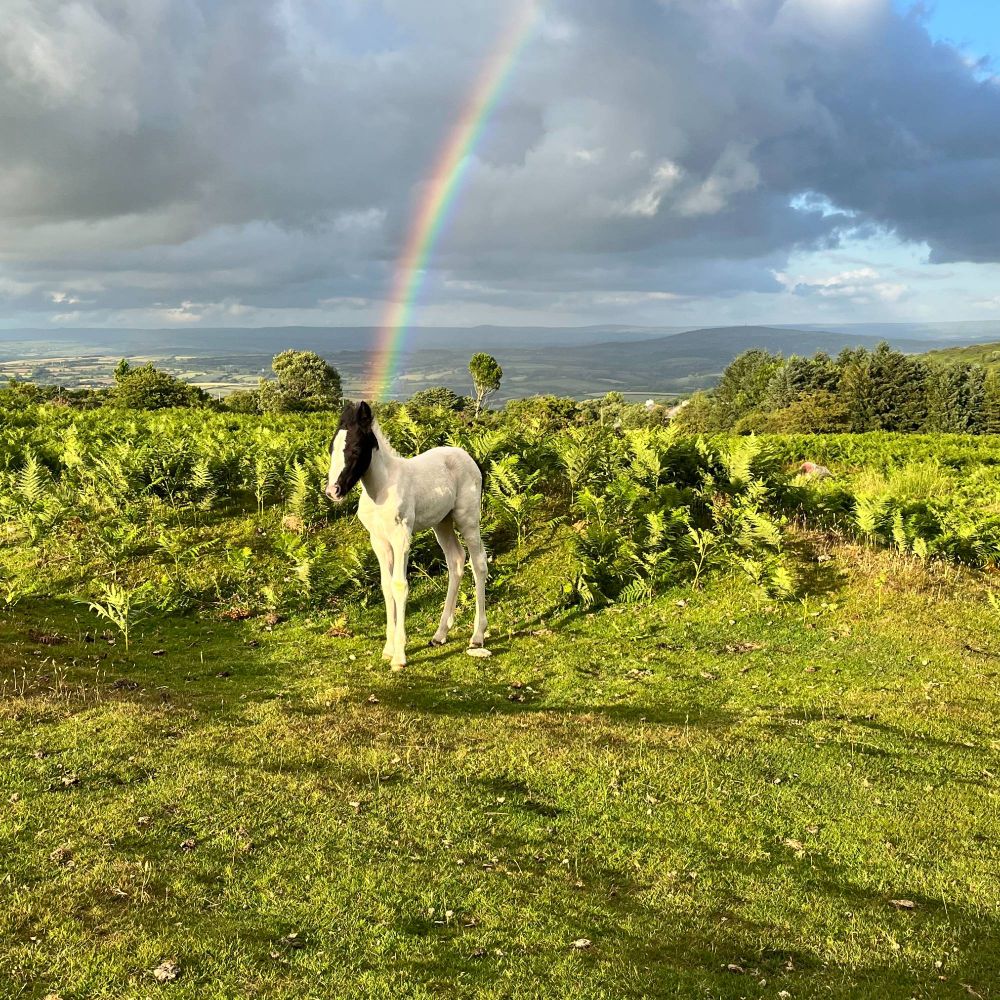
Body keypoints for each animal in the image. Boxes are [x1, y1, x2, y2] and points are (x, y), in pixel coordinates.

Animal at [325, 401, 489, 670]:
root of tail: (470, 458)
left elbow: (399, 585)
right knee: (456, 561)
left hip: (468, 519)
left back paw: (477, 636)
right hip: (442, 523)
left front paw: (399, 656)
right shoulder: (379, 542)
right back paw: (439, 635)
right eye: (332, 448)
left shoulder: (401, 537)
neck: (380, 490)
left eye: (356, 449)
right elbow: (385, 586)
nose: (332, 491)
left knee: (479, 563)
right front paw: (388, 649)